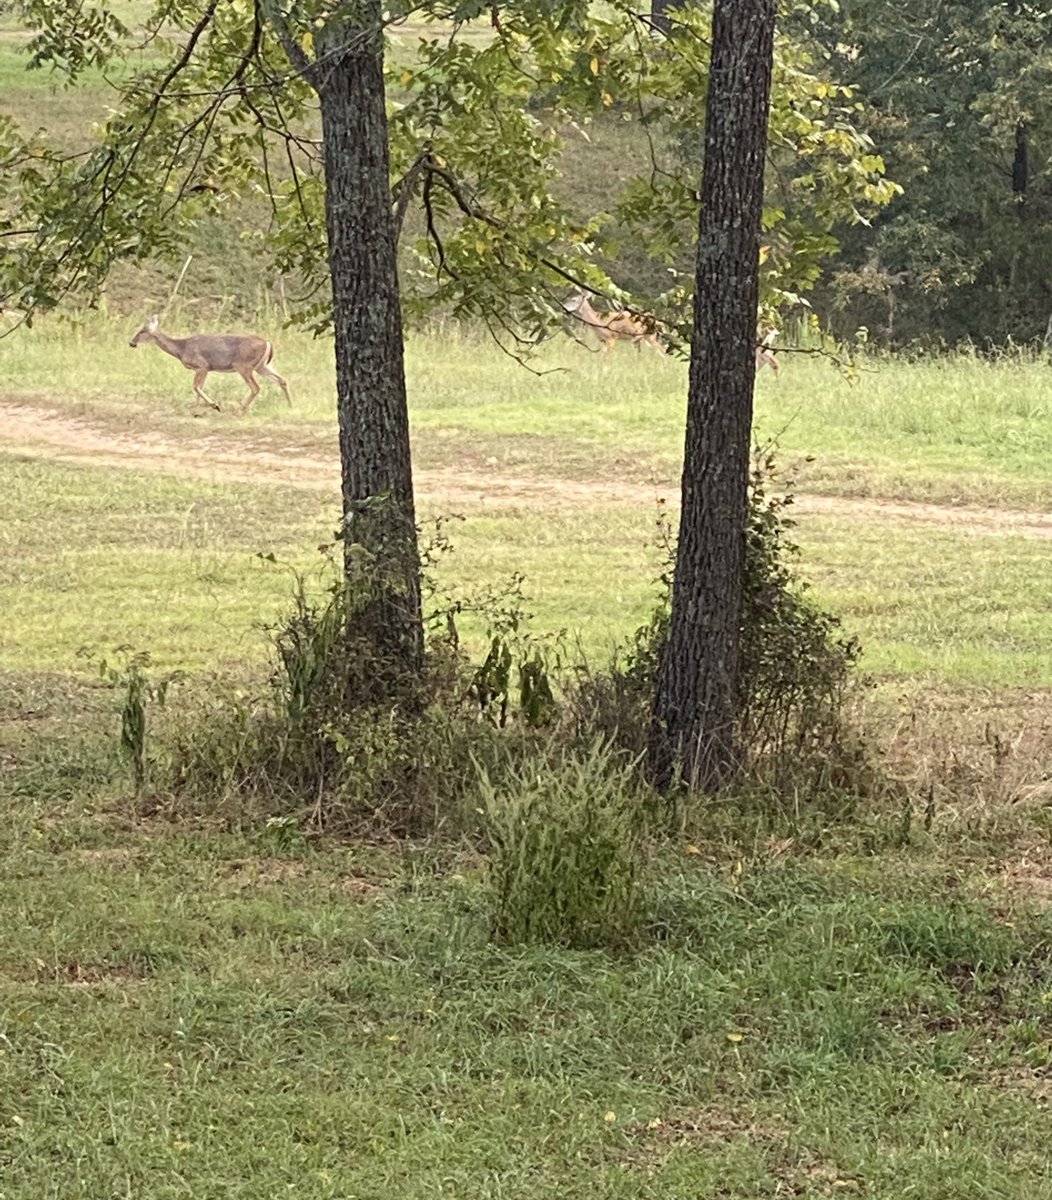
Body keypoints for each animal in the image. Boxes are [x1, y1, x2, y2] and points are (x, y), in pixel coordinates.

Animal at [128, 315, 292, 414]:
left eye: (142, 330)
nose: (131, 343)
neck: (181, 349)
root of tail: (268, 343)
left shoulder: (202, 365)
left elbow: (196, 387)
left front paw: (215, 406)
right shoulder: (205, 368)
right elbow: (199, 388)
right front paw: (196, 410)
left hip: (244, 366)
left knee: (256, 387)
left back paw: (239, 410)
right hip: (261, 366)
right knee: (282, 379)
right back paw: (290, 405)